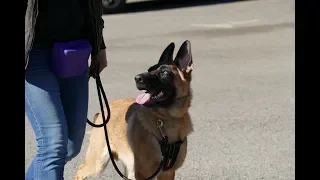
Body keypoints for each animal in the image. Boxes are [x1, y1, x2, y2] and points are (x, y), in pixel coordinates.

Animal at [75, 40, 195, 179]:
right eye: (150, 69)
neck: (167, 119)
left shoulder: (167, 173)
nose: (137, 78)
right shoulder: (142, 174)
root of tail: (103, 111)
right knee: (80, 170)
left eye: (164, 72)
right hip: (97, 163)